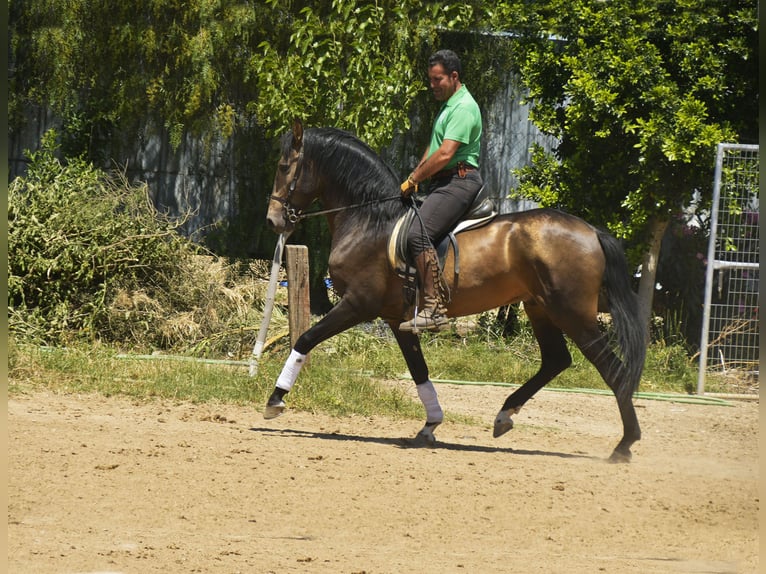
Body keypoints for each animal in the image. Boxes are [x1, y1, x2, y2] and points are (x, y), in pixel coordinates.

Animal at [262, 120, 648, 464]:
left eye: (283, 167)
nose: (272, 221)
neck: (371, 220)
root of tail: (591, 231)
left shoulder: (358, 304)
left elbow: (306, 339)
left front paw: (275, 400)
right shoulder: (397, 318)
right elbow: (419, 371)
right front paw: (430, 425)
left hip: (573, 313)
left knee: (612, 369)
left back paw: (625, 444)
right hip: (540, 308)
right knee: (556, 360)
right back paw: (505, 415)